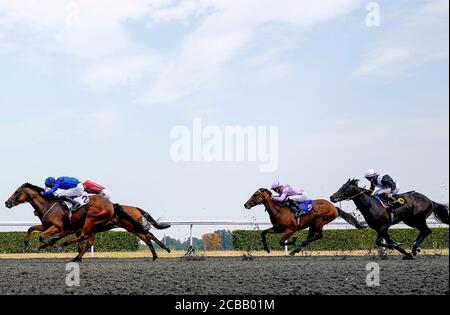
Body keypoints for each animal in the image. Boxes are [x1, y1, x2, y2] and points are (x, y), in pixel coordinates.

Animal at [4, 183, 171, 262]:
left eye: (17, 192)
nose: (7, 202)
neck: (48, 204)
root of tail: (113, 206)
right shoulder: (49, 226)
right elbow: (31, 229)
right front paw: (26, 246)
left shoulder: (58, 227)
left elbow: (42, 236)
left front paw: (47, 245)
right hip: (118, 226)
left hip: (105, 222)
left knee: (147, 236)